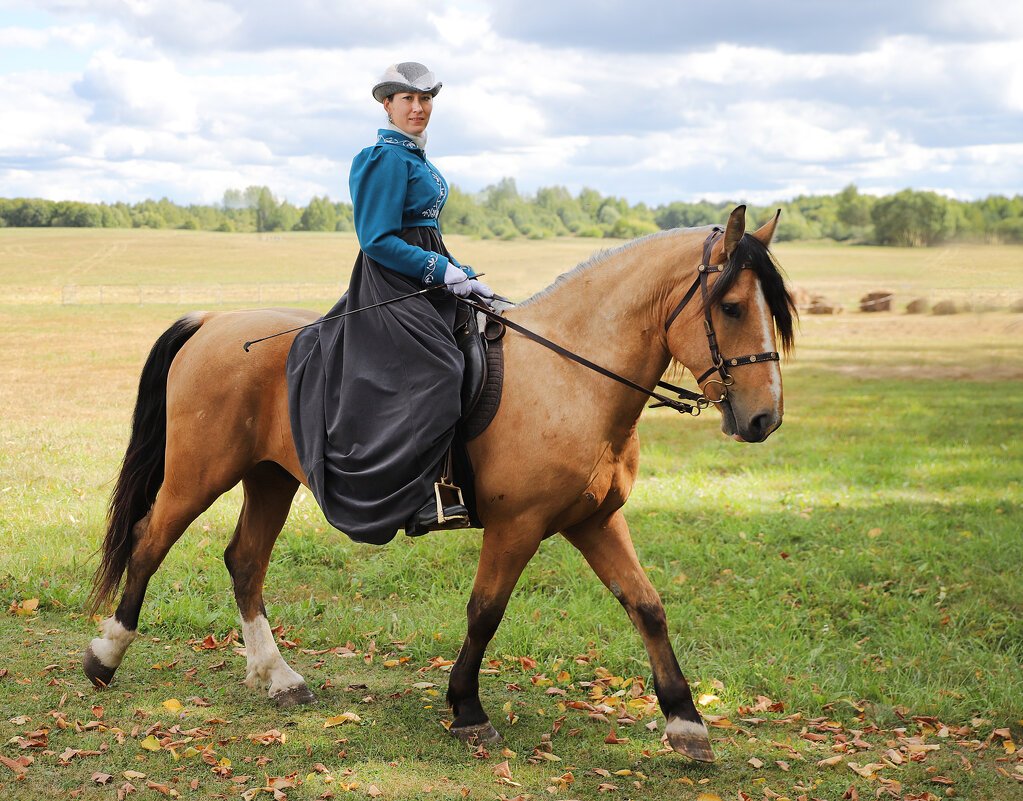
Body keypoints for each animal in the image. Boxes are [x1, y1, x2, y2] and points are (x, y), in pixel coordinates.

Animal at [83, 203, 793, 761]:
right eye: (732, 307)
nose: (764, 419)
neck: (573, 376)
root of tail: (214, 321)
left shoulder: (595, 520)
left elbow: (646, 605)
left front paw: (686, 722)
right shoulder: (517, 525)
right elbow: (486, 611)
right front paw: (467, 709)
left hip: (268, 480)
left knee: (245, 561)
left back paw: (277, 676)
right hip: (198, 475)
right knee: (150, 543)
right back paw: (106, 656)